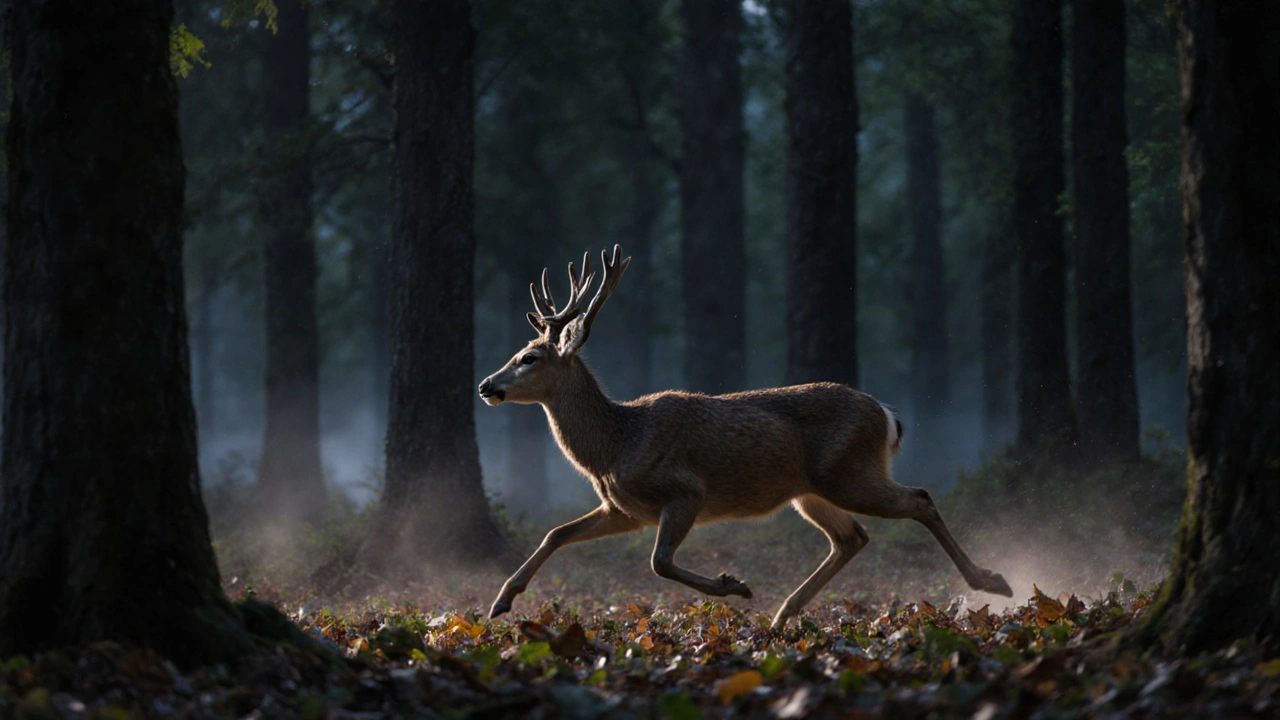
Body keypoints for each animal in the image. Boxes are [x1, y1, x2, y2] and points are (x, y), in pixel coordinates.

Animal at [478, 245, 1013, 629]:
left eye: (529, 357)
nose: (486, 385)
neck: (615, 446)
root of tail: (887, 414)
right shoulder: (624, 510)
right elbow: (556, 533)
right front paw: (500, 602)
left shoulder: (684, 492)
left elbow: (659, 562)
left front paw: (733, 585)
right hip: (812, 491)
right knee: (852, 538)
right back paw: (782, 617)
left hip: (848, 473)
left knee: (918, 498)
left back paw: (992, 580)